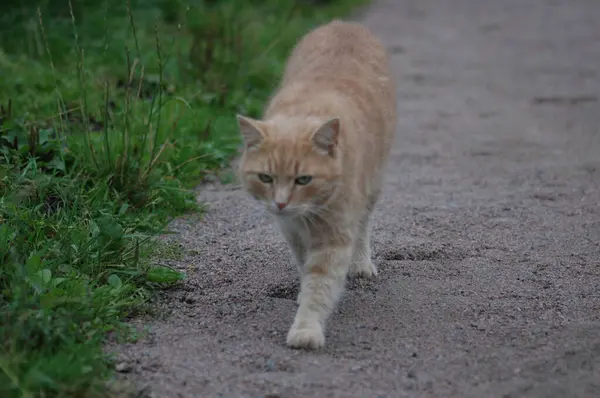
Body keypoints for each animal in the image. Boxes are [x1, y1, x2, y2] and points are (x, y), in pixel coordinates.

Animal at [237, 20, 396, 348]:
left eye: (303, 180)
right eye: (266, 178)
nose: (280, 202)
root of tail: (343, 24)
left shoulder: (334, 235)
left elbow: (320, 285)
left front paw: (306, 328)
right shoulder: (292, 230)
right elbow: (304, 266)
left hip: (372, 186)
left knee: (364, 225)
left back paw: (361, 262)